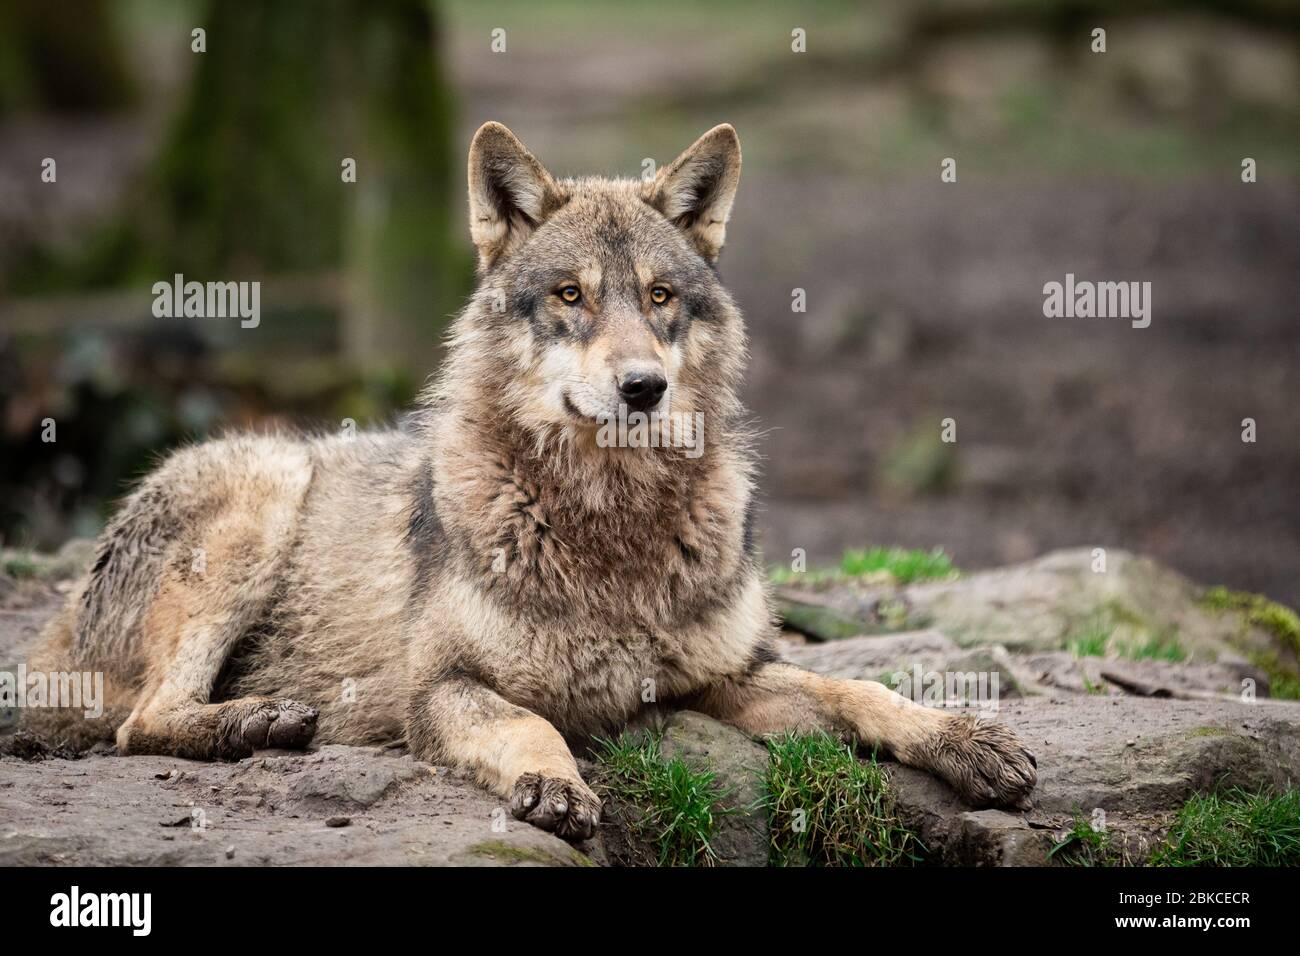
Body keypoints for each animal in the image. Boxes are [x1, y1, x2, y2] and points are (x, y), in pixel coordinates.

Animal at [24, 123, 1036, 840]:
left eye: (660, 297)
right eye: (571, 296)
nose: (643, 387)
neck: (611, 527)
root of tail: (53, 635)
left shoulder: (722, 677)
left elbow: (862, 692)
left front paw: (967, 740)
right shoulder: (443, 688)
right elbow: (525, 725)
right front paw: (553, 782)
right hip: (261, 498)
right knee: (140, 724)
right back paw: (258, 721)